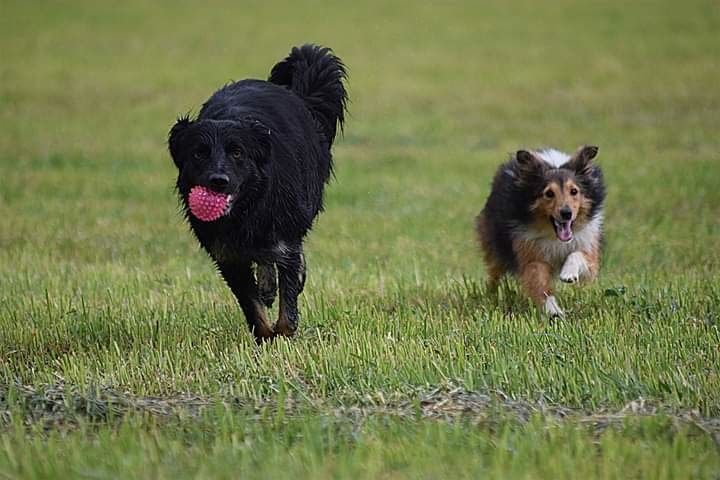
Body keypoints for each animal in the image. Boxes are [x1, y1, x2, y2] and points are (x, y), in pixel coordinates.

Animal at [169, 45, 348, 344]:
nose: (218, 182)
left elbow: (288, 303)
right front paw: (265, 335)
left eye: (237, 152)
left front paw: (283, 335)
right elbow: (251, 304)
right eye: (199, 153)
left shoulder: (285, 239)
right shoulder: (228, 257)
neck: (245, 210)